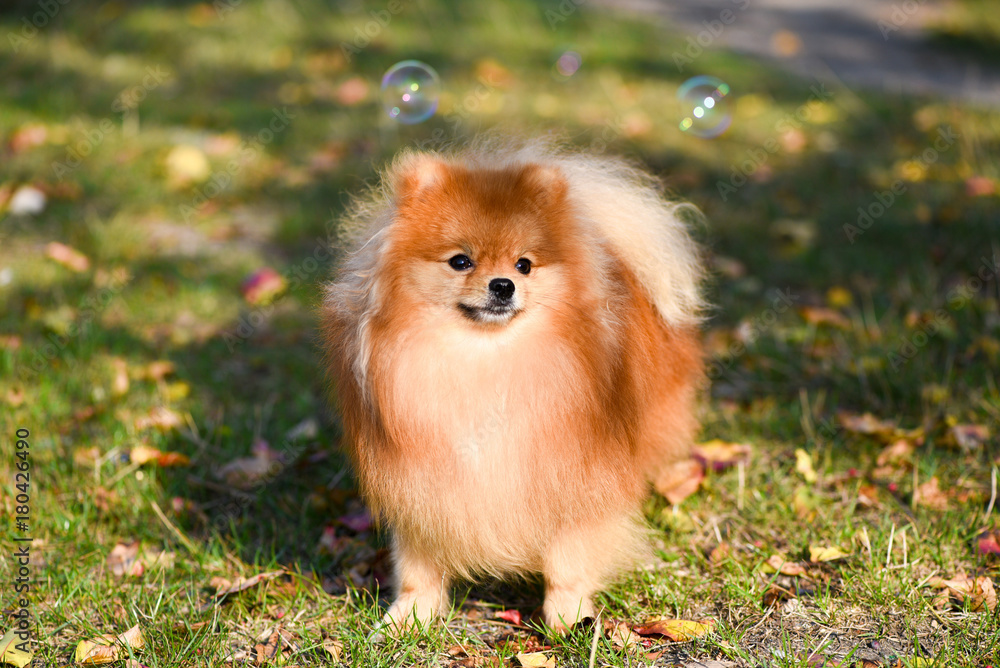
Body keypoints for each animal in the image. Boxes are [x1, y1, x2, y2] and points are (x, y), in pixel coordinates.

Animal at [322, 137, 704, 632]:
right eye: (460, 261)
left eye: (524, 265)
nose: (503, 284)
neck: (488, 362)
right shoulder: (418, 475)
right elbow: (416, 563)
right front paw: (411, 615)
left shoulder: (573, 471)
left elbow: (568, 559)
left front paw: (569, 617)